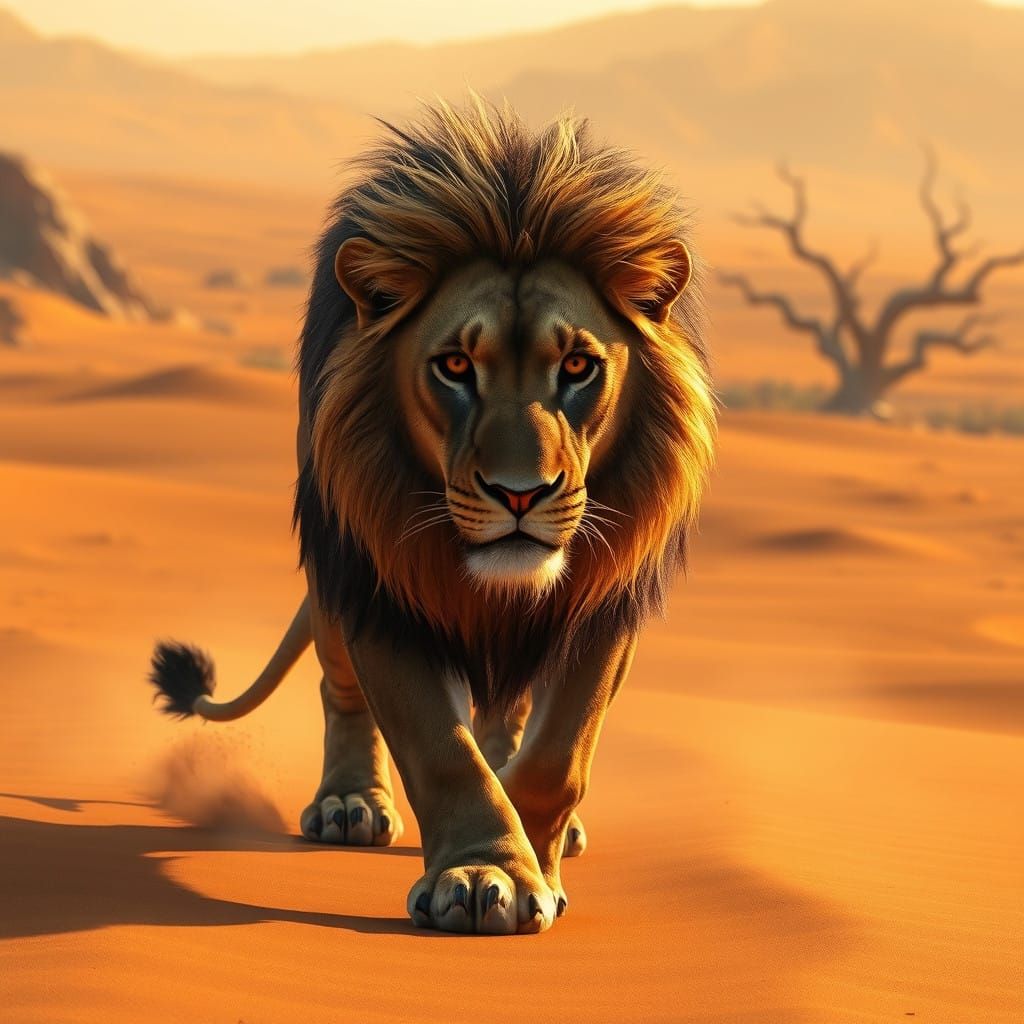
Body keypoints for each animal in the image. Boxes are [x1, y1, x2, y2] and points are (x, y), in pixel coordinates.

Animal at [148, 98, 716, 935]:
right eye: (454, 367)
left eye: (578, 367)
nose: (521, 493)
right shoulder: (379, 583)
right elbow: (439, 747)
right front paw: (486, 873)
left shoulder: (603, 603)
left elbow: (557, 755)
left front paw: (530, 852)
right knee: (342, 690)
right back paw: (349, 804)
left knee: (508, 710)